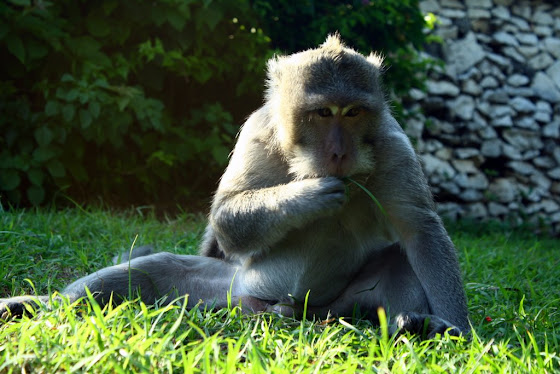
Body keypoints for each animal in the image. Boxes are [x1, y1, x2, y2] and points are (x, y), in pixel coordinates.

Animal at [0, 35, 468, 338]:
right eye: (322, 113)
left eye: (353, 113)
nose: (338, 152)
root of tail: (263, 308)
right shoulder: (257, 133)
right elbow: (225, 215)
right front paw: (308, 194)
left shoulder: (393, 148)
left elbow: (420, 231)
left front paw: (455, 328)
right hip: (229, 285)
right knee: (156, 270)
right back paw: (42, 305)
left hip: (332, 309)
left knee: (400, 260)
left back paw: (419, 325)